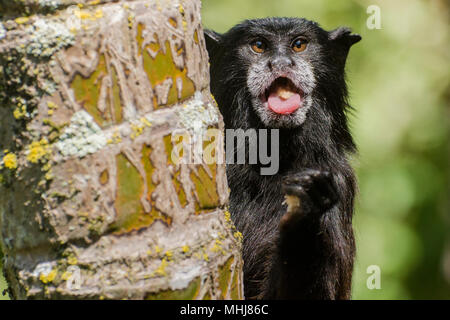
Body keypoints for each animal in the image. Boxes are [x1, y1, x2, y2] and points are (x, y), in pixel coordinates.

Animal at [205, 18, 362, 300]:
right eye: (258, 45)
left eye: (299, 44)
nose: (281, 63)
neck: (274, 158)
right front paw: (304, 214)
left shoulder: (339, 183)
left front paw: (305, 215)